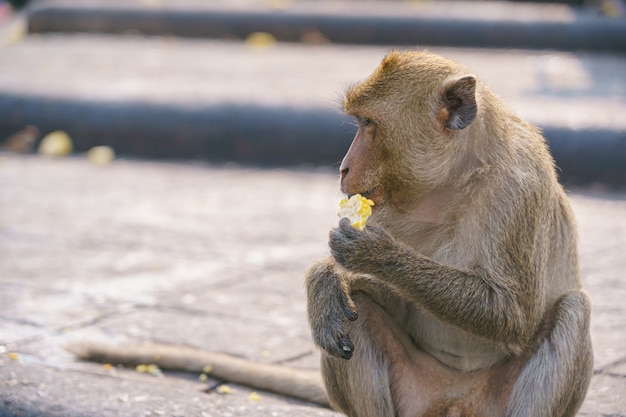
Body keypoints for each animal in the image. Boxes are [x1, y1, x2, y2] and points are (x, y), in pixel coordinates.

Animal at [67, 49, 588, 416]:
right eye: (355, 122)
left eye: (368, 124)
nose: (342, 167)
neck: (453, 181)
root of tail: (454, 401)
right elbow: (360, 294)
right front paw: (325, 279)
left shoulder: (518, 189)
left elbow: (511, 314)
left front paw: (377, 255)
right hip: (416, 395)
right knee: (358, 318)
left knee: (572, 312)